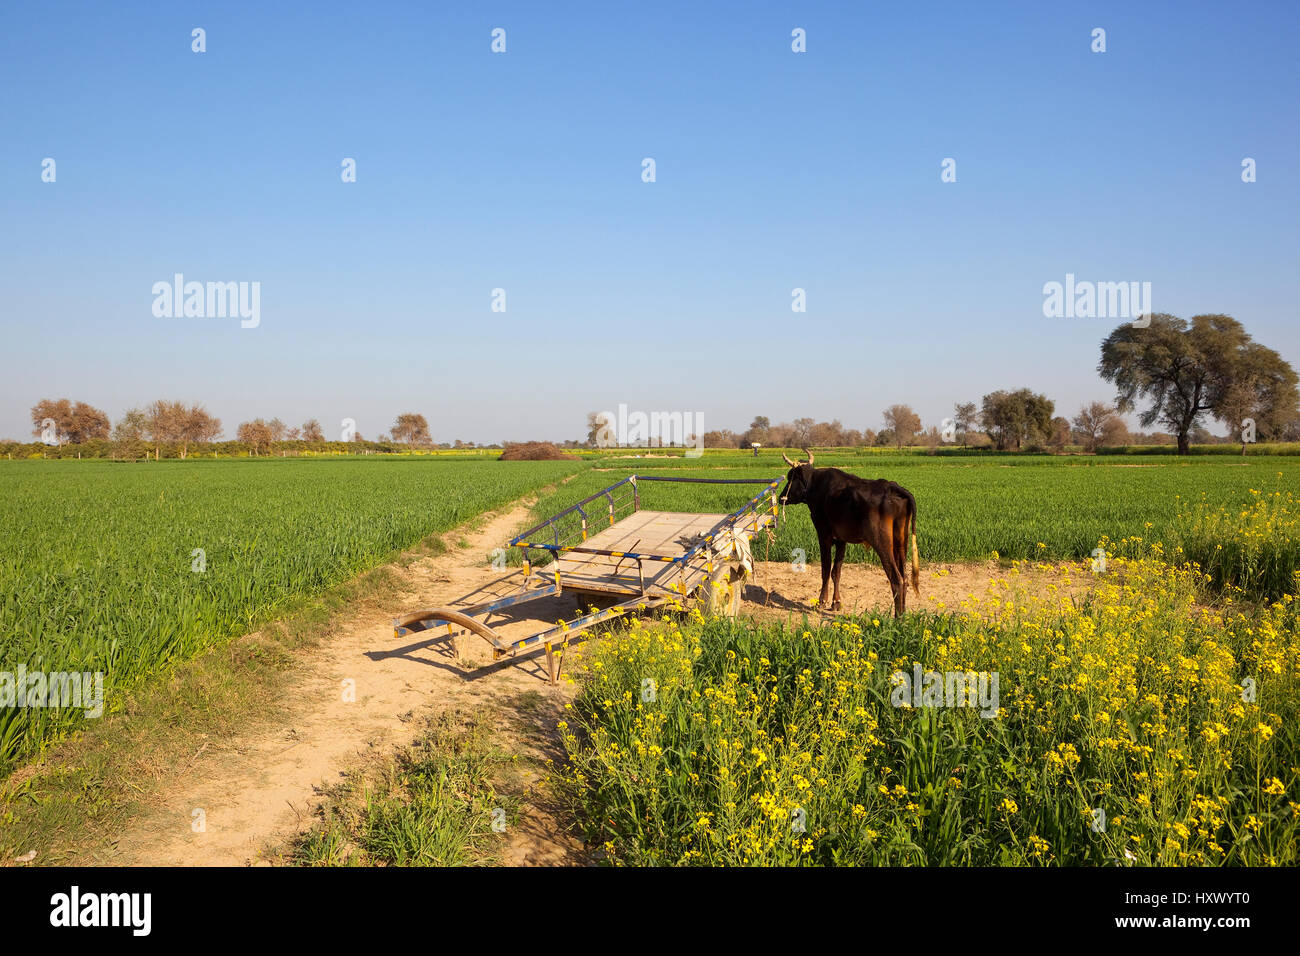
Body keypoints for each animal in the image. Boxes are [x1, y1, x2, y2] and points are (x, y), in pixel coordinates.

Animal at [779, 449, 919, 616]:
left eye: (791, 477)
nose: (781, 497)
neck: (816, 485)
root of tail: (892, 487)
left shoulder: (823, 534)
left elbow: (826, 569)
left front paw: (822, 601)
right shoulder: (841, 539)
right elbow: (836, 571)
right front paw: (836, 602)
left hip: (881, 542)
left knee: (896, 579)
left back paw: (897, 618)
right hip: (901, 541)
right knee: (904, 578)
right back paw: (903, 614)